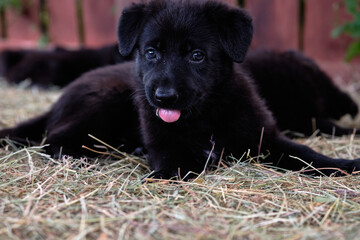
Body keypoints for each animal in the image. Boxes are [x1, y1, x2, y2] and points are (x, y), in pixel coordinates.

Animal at [0, 0, 360, 178]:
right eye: (151, 52)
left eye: (196, 55)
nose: (164, 97)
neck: (206, 117)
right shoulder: (168, 149)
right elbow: (181, 165)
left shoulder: (267, 138)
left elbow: (308, 155)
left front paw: (345, 165)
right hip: (105, 103)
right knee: (55, 139)